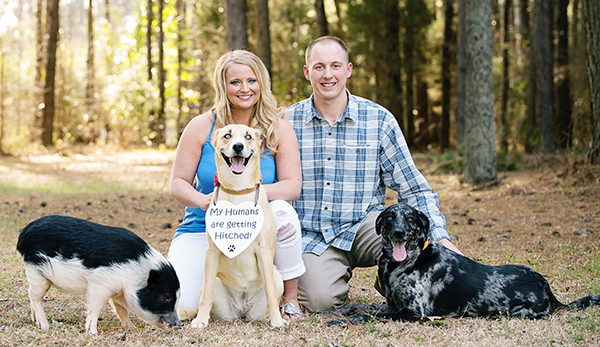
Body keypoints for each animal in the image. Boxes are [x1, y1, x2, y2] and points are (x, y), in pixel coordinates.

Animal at [16, 216, 180, 336]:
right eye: (166, 297)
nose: (179, 325)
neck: (135, 274)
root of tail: (24, 233)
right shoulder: (100, 285)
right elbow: (95, 307)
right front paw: (93, 333)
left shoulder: (117, 291)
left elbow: (121, 309)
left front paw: (131, 328)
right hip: (35, 271)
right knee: (34, 297)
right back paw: (45, 326)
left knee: (32, 296)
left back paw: (35, 321)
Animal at [192, 125, 286, 328]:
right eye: (227, 135)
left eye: (248, 137)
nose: (238, 146)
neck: (238, 190)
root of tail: (243, 309)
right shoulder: (212, 251)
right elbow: (205, 298)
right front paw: (200, 320)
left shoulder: (263, 251)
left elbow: (270, 294)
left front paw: (277, 320)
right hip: (215, 283)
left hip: (277, 277)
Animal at [326, 204, 600, 326]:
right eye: (391, 216)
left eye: (411, 218)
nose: (400, 233)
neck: (406, 263)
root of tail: (550, 291)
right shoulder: (392, 304)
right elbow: (360, 307)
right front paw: (336, 313)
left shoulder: (412, 312)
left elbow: (368, 315)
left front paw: (341, 321)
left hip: (519, 312)